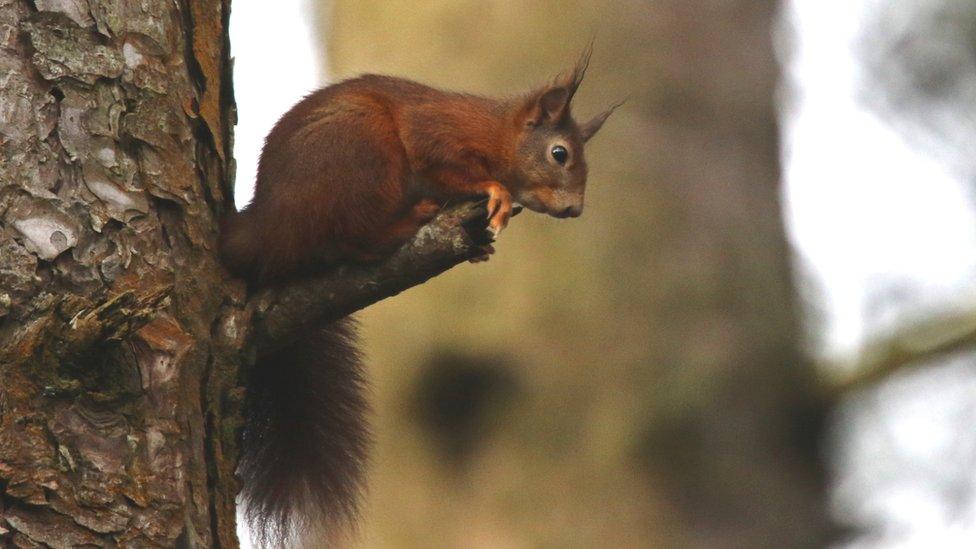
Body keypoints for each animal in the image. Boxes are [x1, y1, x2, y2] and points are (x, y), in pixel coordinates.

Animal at [222, 50, 616, 544]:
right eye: (559, 153)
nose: (574, 209)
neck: (494, 131)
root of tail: (267, 237)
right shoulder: (435, 133)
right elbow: (442, 161)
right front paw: (494, 191)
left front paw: (482, 244)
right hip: (362, 151)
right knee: (354, 238)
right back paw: (409, 221)